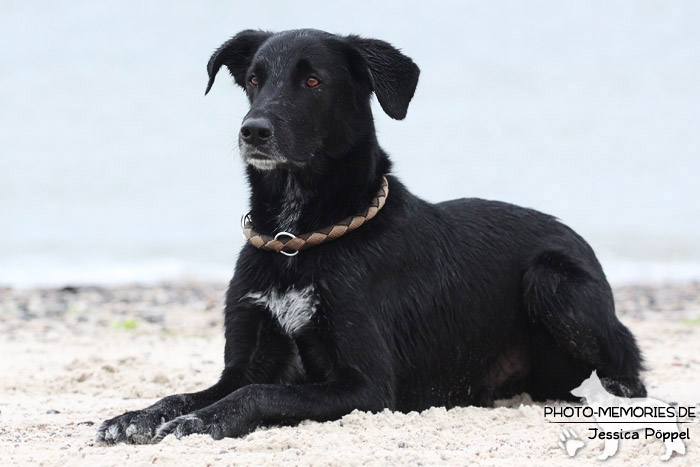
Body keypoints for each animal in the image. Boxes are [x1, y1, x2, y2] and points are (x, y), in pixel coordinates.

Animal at [95, 29, 644, 446]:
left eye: (313, 80)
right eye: (254, 79)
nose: (252, 131)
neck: (298, 238)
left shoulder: (366, 387)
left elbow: (258, 395)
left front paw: (198, 422)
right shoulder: (245, 363)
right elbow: (189, 392)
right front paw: (135, 416)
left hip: (552, 279)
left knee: (627, 372)